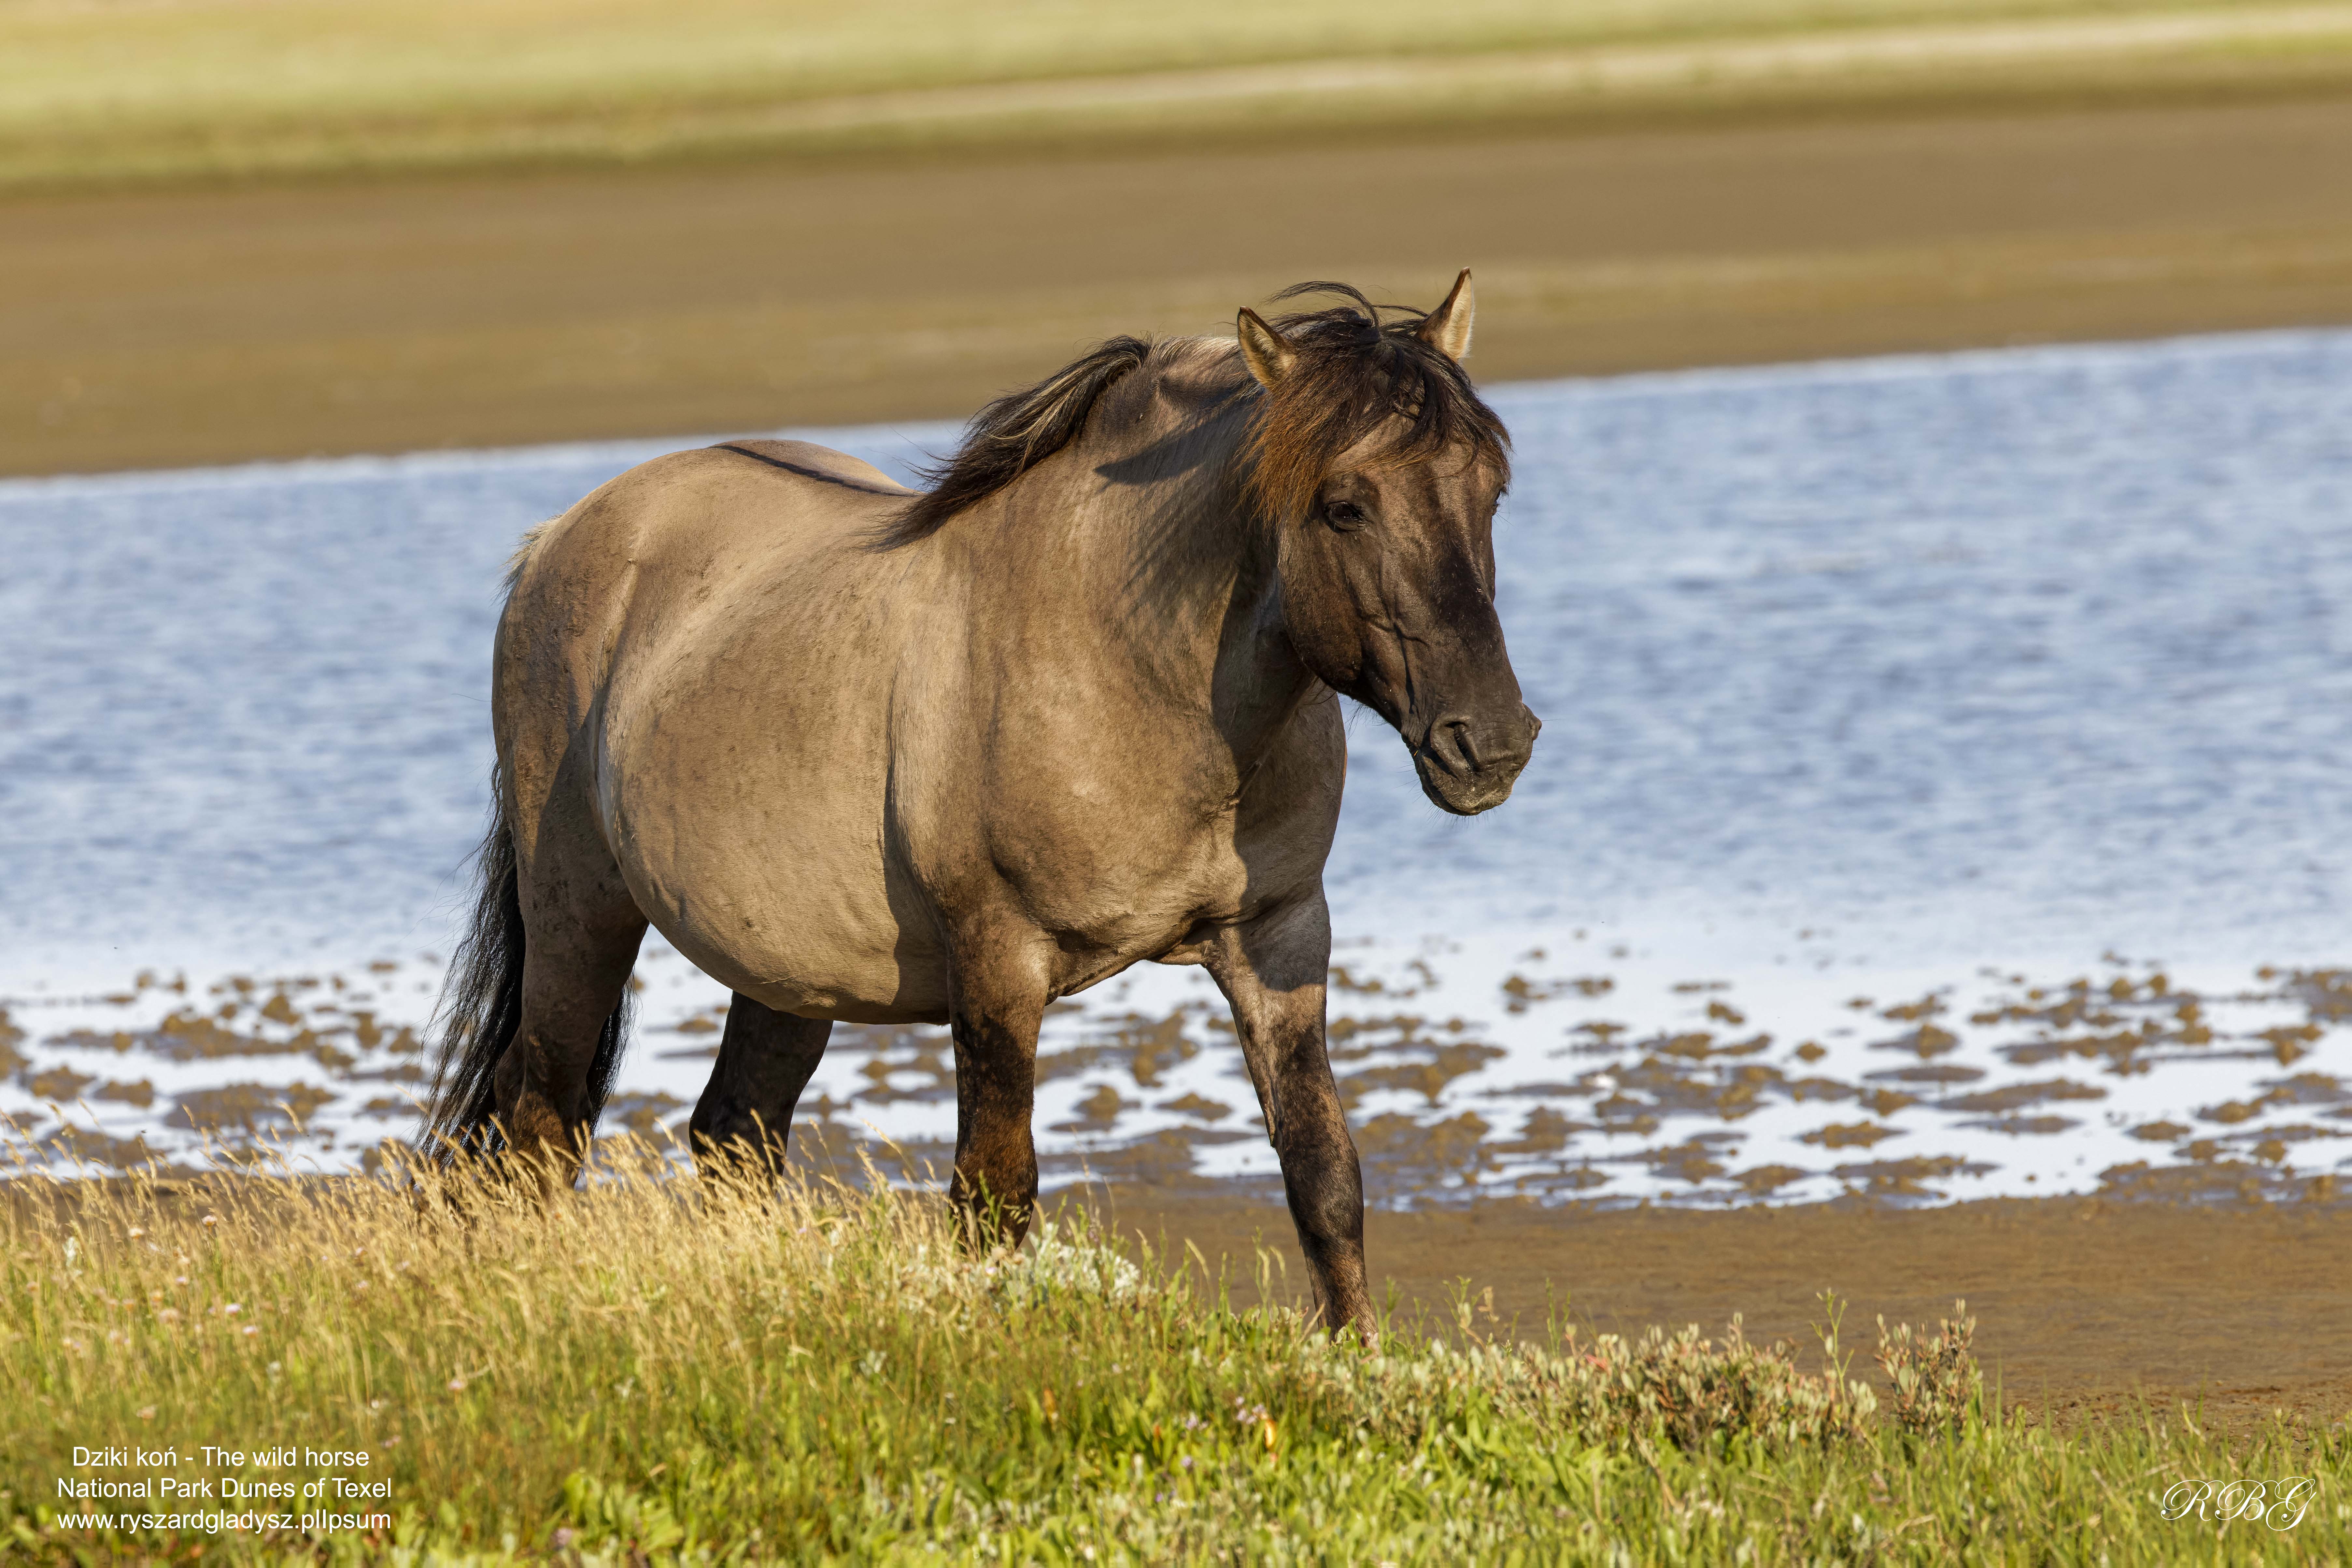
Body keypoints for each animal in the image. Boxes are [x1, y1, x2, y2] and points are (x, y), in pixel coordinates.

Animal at [422, 272, 1538, 1334]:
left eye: (1489, 493)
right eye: (1343, 504)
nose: (1490, 742)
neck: (1129, 666)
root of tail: (567, 534)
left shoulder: (1279, 935)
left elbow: (1323, 1177)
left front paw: (1354, 1360)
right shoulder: (998, 961)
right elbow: (994, 1197)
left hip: (783, 975)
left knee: (731, 1135)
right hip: (581, 918)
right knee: (538, 1126)